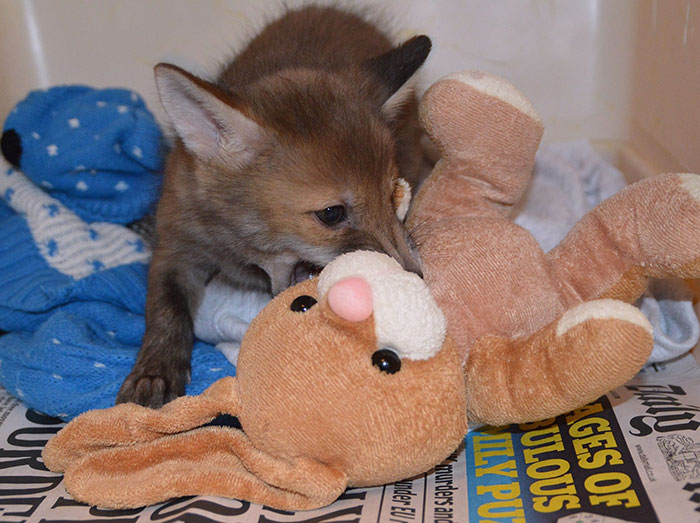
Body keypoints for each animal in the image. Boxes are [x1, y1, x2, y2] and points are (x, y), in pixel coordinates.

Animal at [116, 5, 432, 407]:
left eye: (392, 194)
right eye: (332, 214)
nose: (416, 277)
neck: (243, 252)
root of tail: (336, 10)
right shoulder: (176, 240)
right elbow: (165, 310)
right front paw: (154, 371)